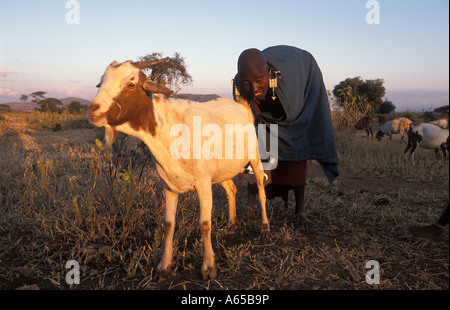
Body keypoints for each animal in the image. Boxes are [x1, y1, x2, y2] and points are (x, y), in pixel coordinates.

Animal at [89, 58, 268, 284]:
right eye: (101, 82)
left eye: (131, 84)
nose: (93, 109)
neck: (170, 131)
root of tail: (241, 107)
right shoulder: (169, 186)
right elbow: (168, 225)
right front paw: (164, 267)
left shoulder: (203, 183)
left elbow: (205, 224)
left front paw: (209, 268)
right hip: (221, 171)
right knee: (231, 189)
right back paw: (232, 224)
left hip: (254, 156)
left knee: (261, 188)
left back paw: (265, 227)